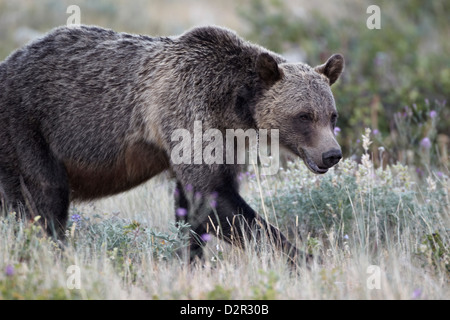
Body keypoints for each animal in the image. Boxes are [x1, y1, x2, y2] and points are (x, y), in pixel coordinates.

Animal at [0, 25, 344, 264]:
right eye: (304, 116)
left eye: (331, 115)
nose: (332, 154)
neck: (233, 104)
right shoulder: (187, 111)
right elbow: (214, 198)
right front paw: (309, 259)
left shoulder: (226, 140)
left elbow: (193, 206)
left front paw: (191, 259)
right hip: (27, 128)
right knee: (44, 197)